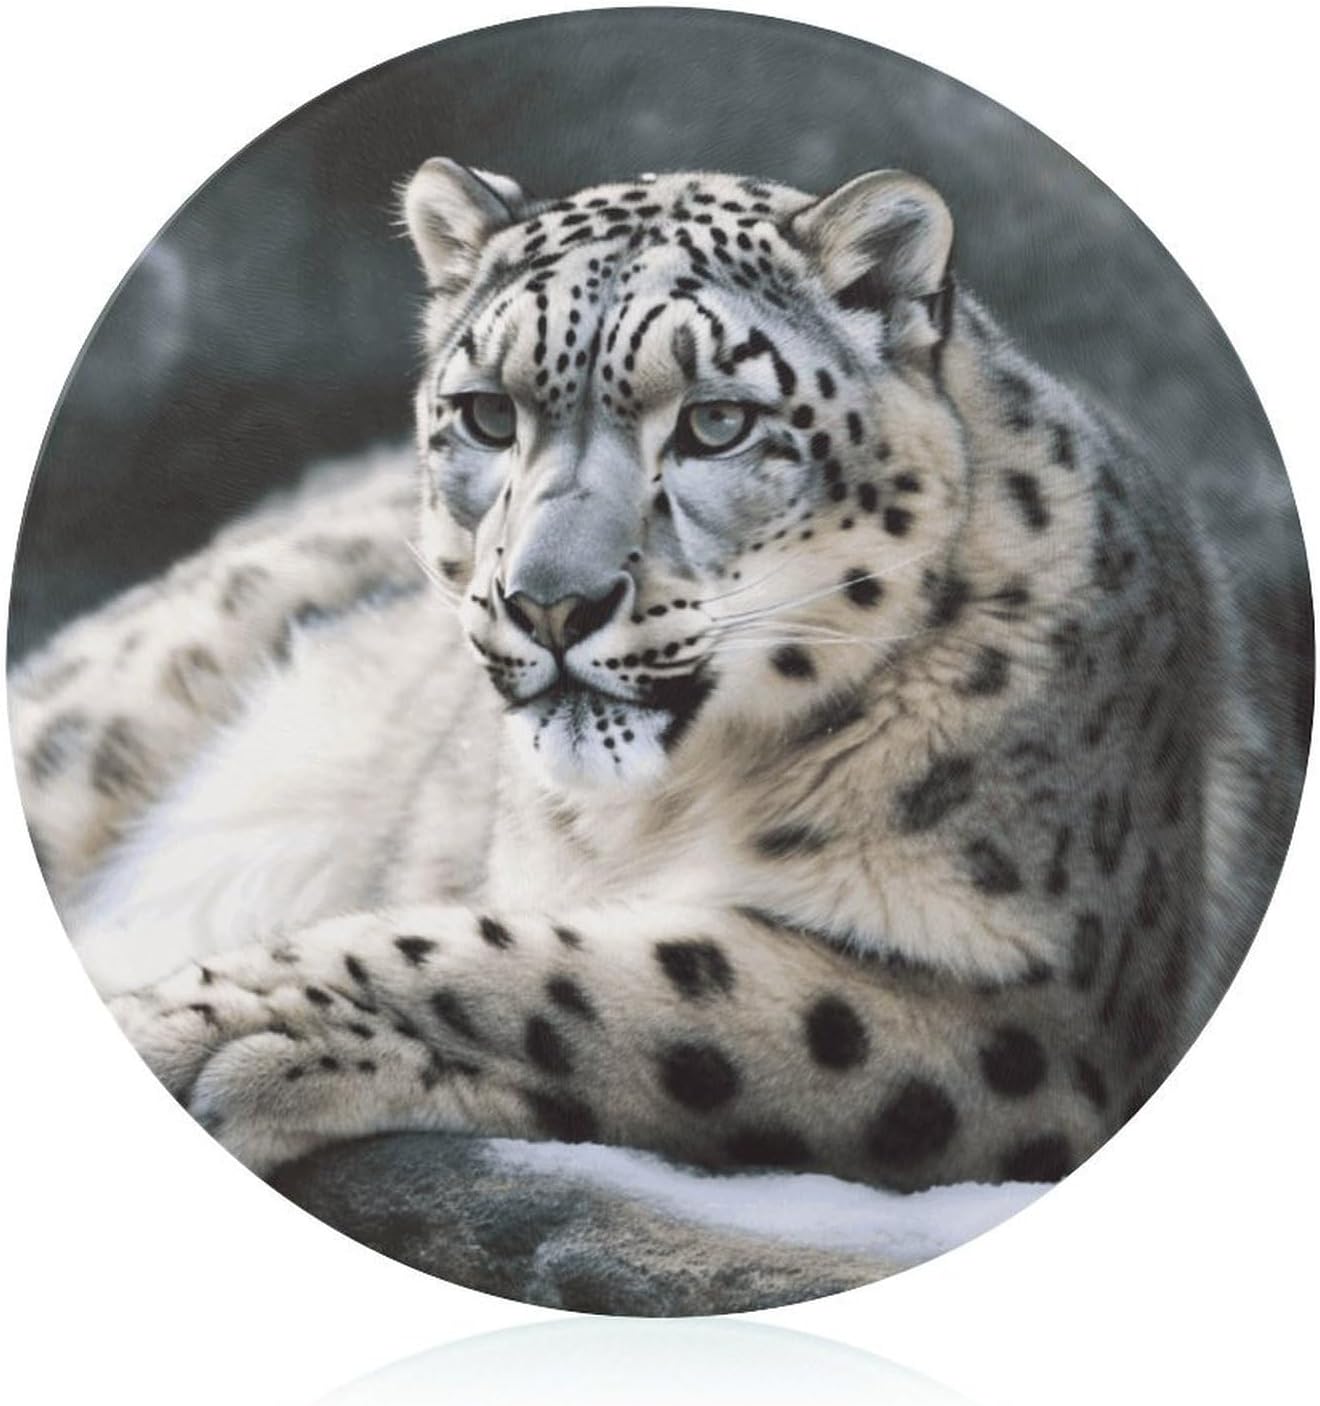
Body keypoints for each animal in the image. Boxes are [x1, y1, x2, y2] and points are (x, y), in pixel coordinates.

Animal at [9, 158, 1283, 1197]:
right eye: (487, 412)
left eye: (717, 421)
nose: (549, 600)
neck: (667, 808)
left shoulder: (1036, 1010)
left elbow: (591, 978)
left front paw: (196, 1029)